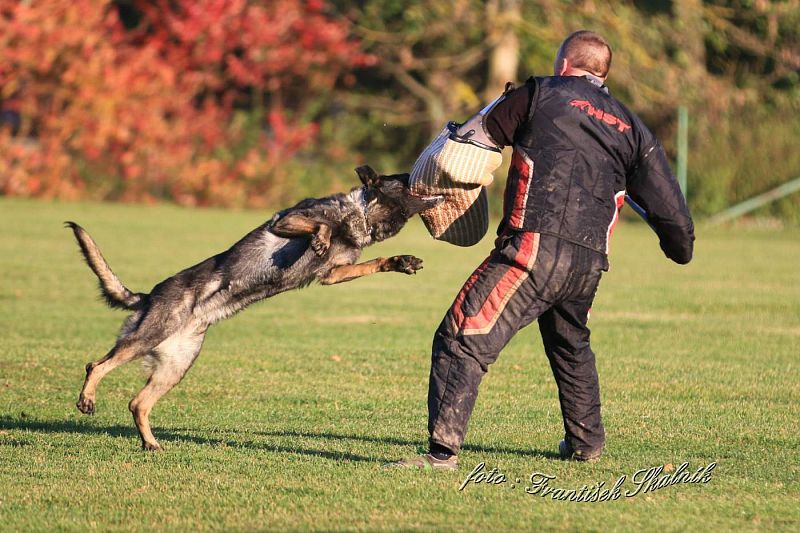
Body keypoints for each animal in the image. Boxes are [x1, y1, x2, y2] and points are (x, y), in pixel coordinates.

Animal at [67, 165, 444, 448]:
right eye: (402, 178)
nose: (420, 169)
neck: (362, 215)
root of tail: (147, 296)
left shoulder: (334, 274)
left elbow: (373, 262)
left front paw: (400, 261)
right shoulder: (287, 220)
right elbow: (319, 223)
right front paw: (321, 239)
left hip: (176, 366)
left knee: (137, 403)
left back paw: (151, 443)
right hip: (150, 334)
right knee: (96, 365)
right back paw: (88, 399)